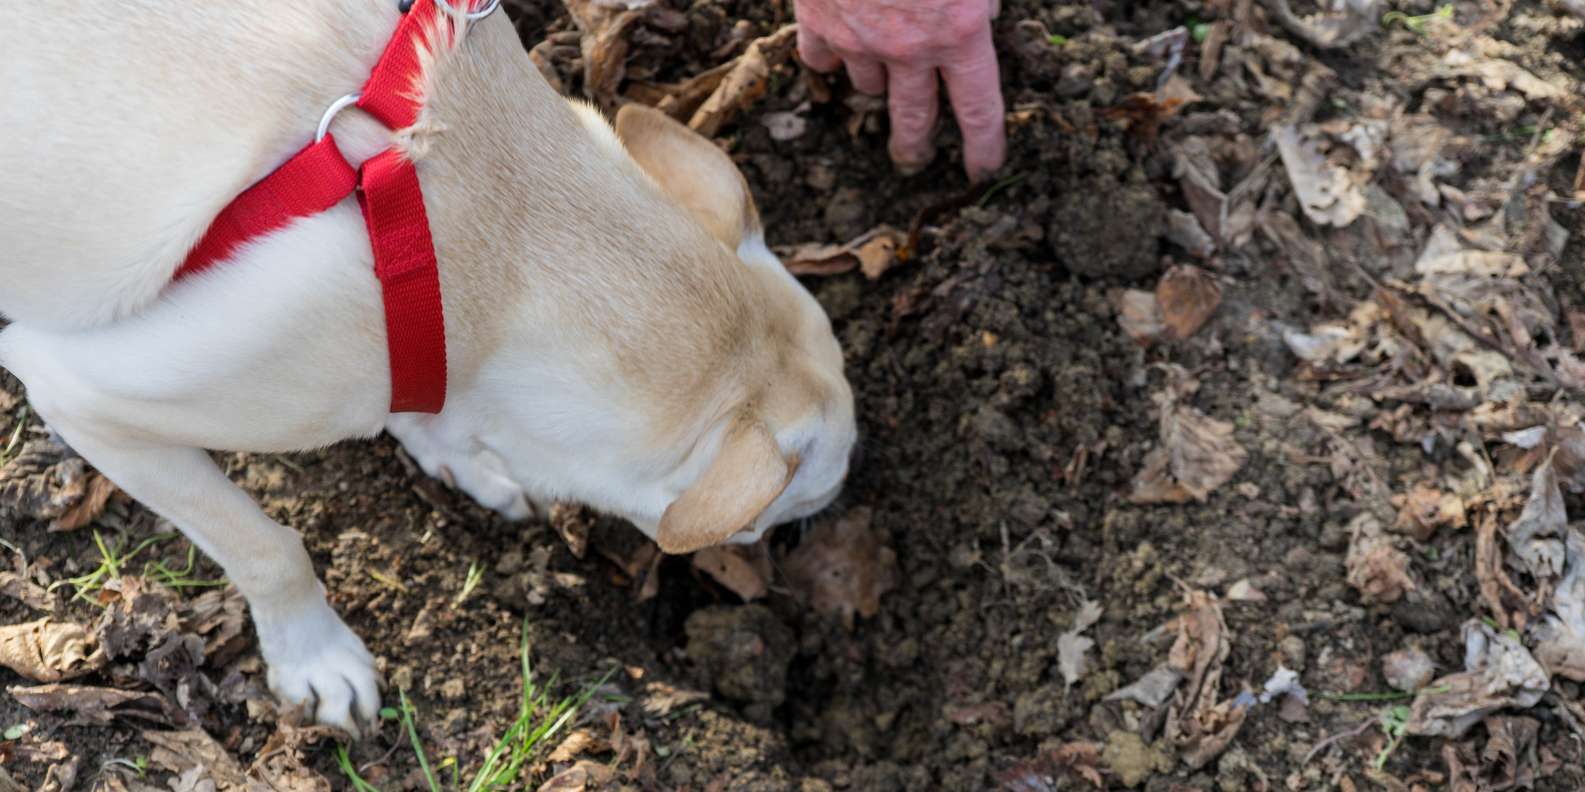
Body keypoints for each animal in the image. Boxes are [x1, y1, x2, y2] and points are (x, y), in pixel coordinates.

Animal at [0, 0, 856, 736]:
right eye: (779, 518)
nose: (775, 579)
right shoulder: (78, 394)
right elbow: (268, 549)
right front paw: (314, 655)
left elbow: (426, 412)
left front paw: (463, 460)